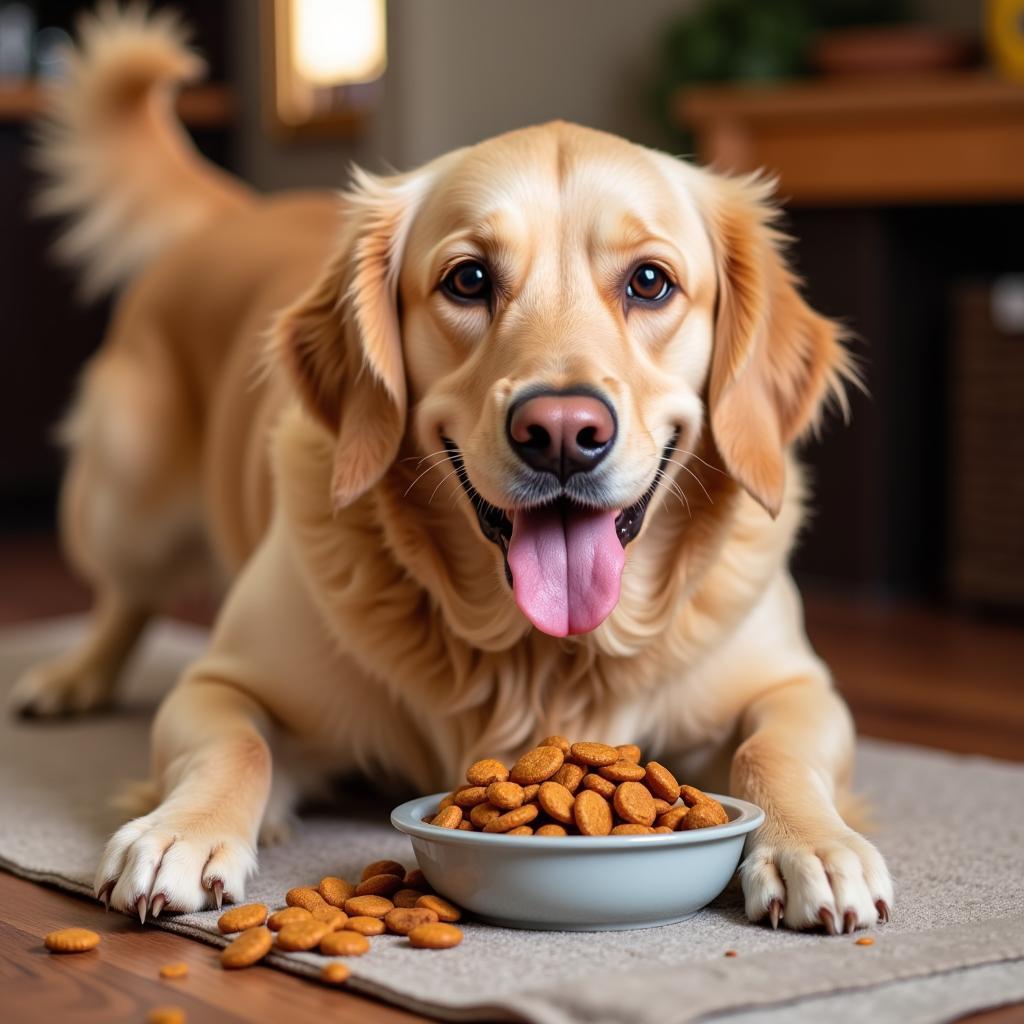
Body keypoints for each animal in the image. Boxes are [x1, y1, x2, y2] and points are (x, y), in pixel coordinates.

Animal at [16, 9, 892, 937]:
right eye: (468, 279)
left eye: (650, 282)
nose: (562, 433)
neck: (535, 656)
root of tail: (243, 210)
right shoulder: (222, 681)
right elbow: (237, 742)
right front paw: (180, 833)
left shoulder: (799, 686)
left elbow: (773, 749)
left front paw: (812, 846)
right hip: (124, 503)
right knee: (123, 595)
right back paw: (71, 675)